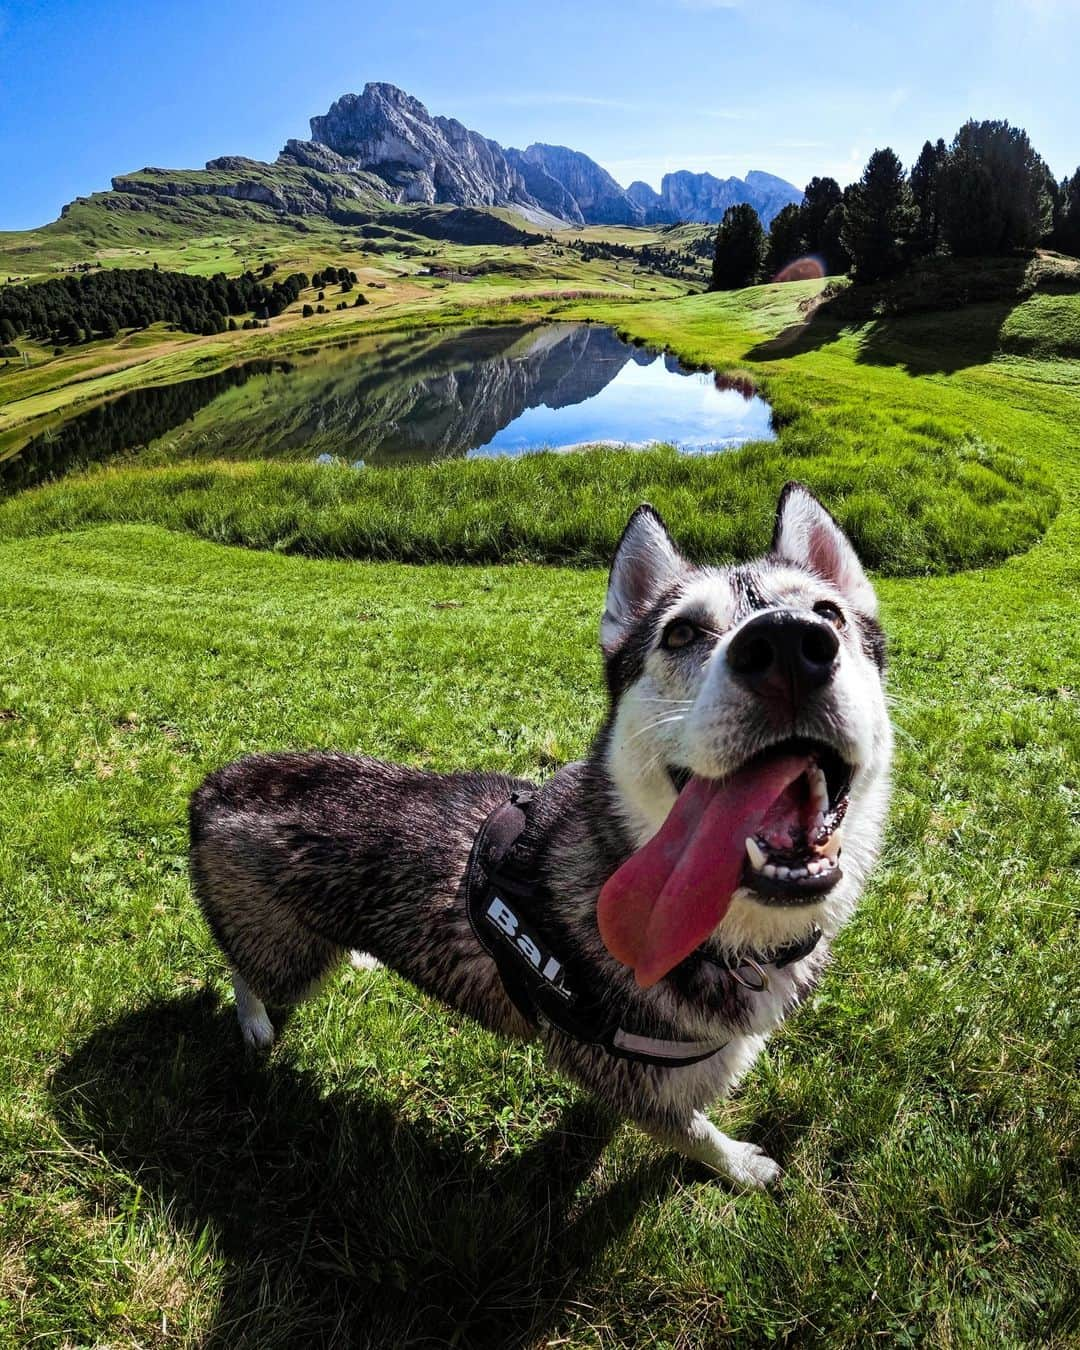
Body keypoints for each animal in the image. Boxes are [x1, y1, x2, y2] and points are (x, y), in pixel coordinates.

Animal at [190, 486, 891, 1182]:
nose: (789, 644)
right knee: (241, 971)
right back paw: (253, 1023)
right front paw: (742, 1166)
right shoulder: (634, 1087)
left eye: (829, 612)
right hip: (287, 962)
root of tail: (214, 786)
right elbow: (696, 1135)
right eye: (682, 632)